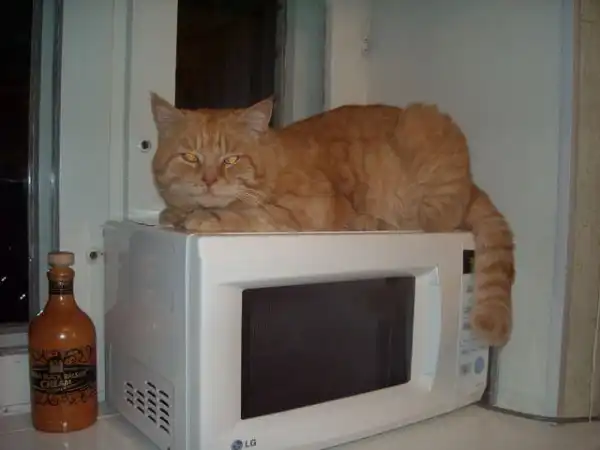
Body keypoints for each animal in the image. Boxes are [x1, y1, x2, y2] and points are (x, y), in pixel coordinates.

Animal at [150, 93, 515, 347]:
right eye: (190, 157)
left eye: (231, 159)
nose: (209, 180)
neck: (274, 160)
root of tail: (472, 182)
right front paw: (173, 213)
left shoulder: (302, 211)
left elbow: (245, 213)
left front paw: (204, 216)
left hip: (422, 149)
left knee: (425, 224)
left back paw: (366, 222)